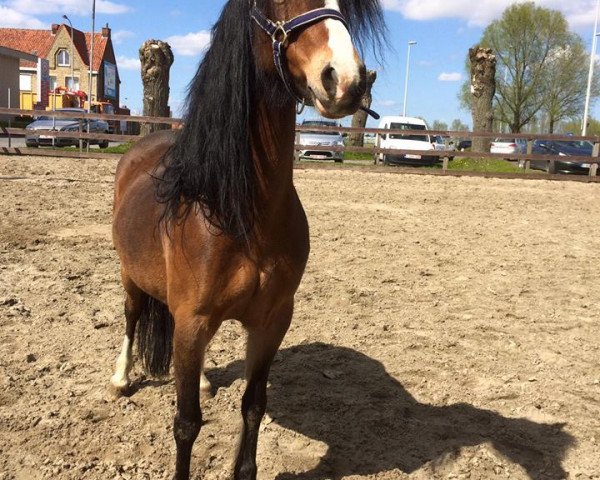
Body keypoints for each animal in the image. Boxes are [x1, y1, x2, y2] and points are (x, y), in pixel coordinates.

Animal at [108, 0, 384, 480]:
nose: (346, 78)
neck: (240, 211)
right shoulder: (192, 319)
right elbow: (186, 423)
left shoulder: (271, 321)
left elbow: (253, 406)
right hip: (132, 277)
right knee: (130, 316)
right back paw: (121, 378)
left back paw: (200, 379)